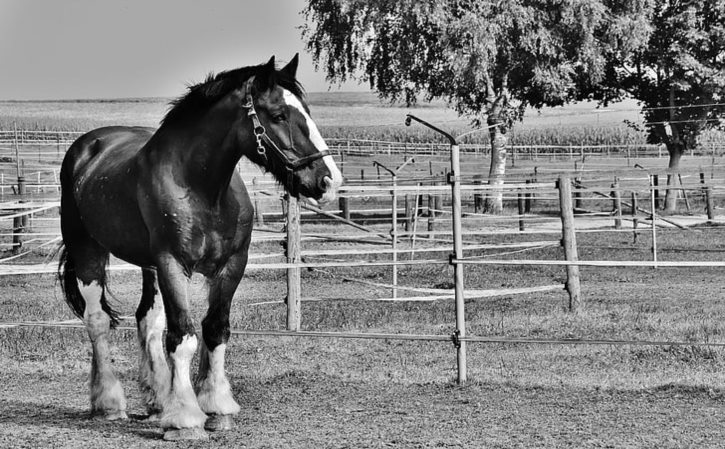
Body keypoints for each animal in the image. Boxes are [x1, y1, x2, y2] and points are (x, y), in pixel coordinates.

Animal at [55, 54, 344, 440]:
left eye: (307, 111)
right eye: (279, 114)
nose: (328, 181)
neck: (203, 188)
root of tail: (87, 147)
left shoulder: (231, 265)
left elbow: (214, 330)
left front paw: (216, 408)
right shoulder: (173, 264)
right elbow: (183, 336)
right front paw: (185, 418)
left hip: (148, 266)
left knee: (147, 320)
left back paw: (157, 401)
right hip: (89, 250)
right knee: (97, 321)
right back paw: (109, 403)